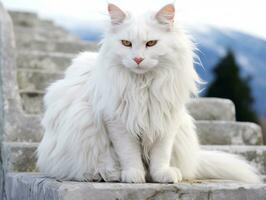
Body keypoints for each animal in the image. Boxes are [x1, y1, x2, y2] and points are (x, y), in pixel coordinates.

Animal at [36, 3, 260, 184]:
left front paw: (161, 175)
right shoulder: (118, 122)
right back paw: (106, 174)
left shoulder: (166, 122)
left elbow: (161, 155)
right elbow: (129, 153)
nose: (137, 59)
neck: (144, 86)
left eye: (151, 43)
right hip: (82, 123)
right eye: (126, 43)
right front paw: (133, 175)